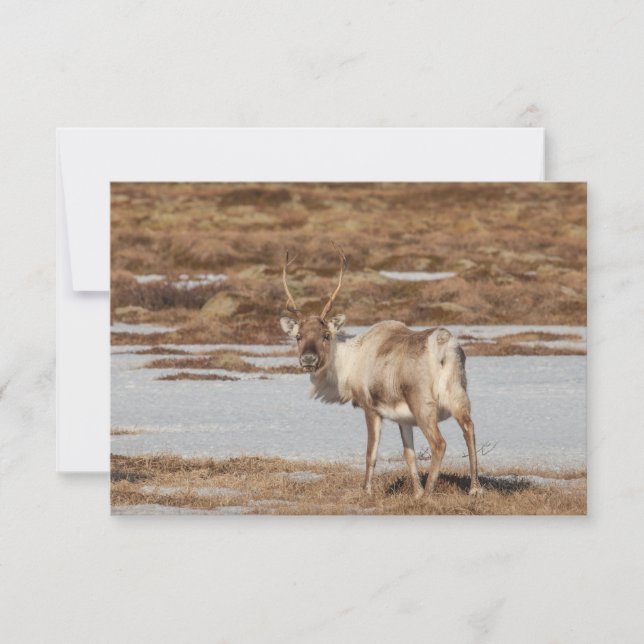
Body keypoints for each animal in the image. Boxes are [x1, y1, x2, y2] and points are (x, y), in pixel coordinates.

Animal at [279, 243, 482, 498]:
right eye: (298, 336)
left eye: (326, 335)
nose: (308, 359)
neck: (349, 365)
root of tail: (444, 348)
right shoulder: (403, 417)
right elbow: (409, 454)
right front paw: (415, 492)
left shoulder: (371, 407)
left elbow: (371, 454)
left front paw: (367, 491)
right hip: (459, 395)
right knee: (469, 428)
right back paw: (474, 488)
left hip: (423, 403)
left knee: (439, 443)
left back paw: (428, 495)